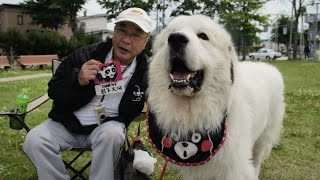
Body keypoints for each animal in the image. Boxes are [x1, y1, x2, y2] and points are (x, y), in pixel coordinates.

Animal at [148, 14, 284, 180]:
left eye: (203, 36)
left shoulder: (234, 167)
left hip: (263, 136)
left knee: (256, 160)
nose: (176, 39)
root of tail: (269, 67)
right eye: (170, 34)